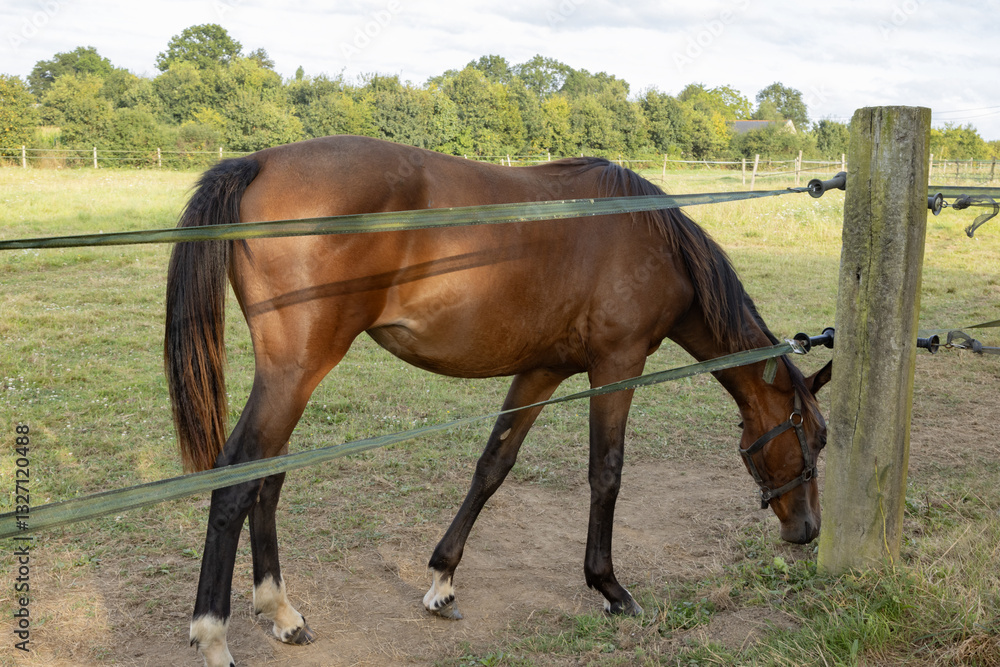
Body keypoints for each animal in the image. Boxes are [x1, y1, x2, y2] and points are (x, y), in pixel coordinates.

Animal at [164, 135, 831, 667]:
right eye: (816, 439)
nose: (807, 531)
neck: (649, 238)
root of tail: (258, 161)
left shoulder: (542, 371)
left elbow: (493, 465)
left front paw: (442, 579)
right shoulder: (618, 366)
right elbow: (606, 474)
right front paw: (609, 588)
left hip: (294, 379)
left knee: (267, 477)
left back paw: (281, 612)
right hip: (296, 372)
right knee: (236, 479)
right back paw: (215, 636)